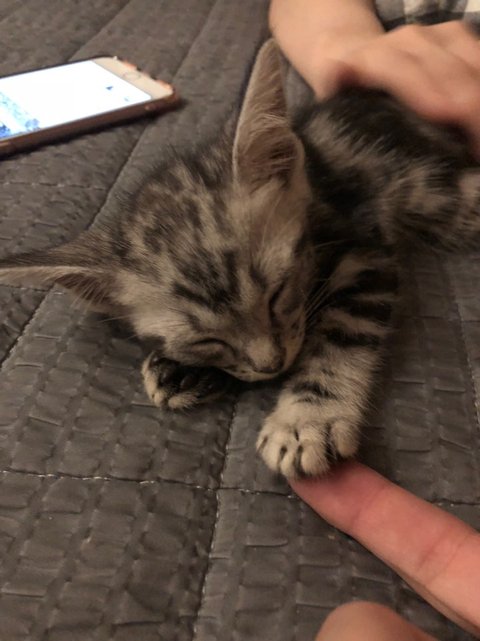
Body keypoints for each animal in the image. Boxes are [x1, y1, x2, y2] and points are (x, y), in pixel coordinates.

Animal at [1, 39, 480, 479]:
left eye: (278, 293)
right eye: (205, 340)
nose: (273, 365)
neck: (317, 184)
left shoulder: (365, 250)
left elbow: (341, 330)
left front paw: (308, 418)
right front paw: (176, 369)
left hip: (441, 198)